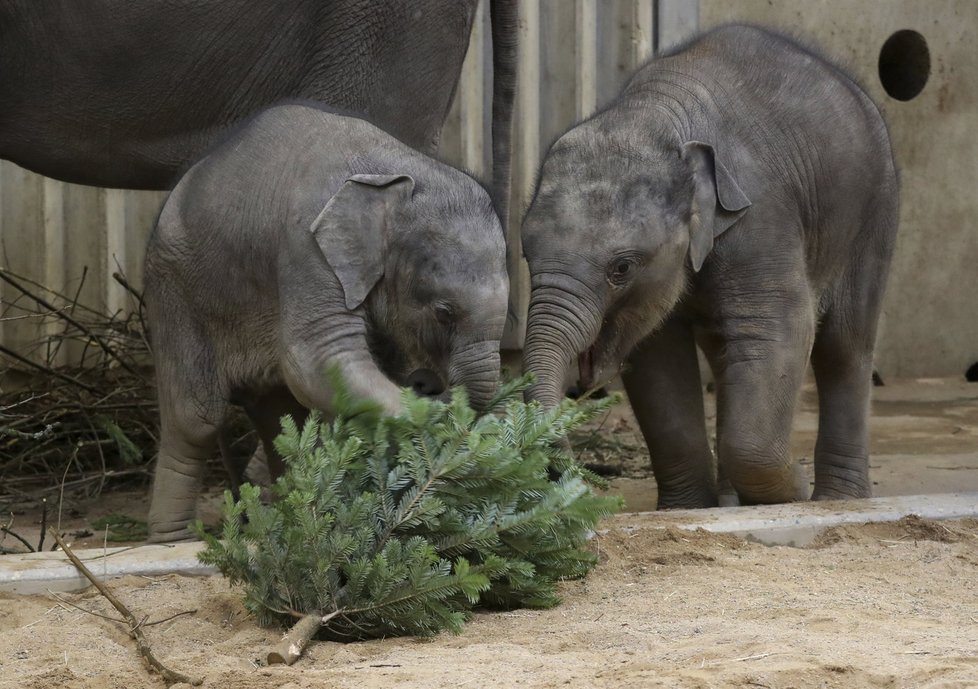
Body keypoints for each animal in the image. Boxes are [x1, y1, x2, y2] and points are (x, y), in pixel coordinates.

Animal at [146, 103, 510, 544]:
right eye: (443, 312)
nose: (426, 383)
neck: (396, 173)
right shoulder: (306, 247)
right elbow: (319, 360)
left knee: (281, 419)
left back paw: (288, 521)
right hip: (176, 290)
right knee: (197, 418)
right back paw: (175, 539)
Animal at [524, 24, 896, 508]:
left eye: (621, 268)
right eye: (525, 253)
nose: (583, 482)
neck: (656, 115)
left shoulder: (760, 216)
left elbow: (782, 328)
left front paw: (791, 491)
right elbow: (658, 359)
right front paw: (687, 509)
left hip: (874, 215)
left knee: (845, 345)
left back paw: (840, 501)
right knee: (726, 356)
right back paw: (734, 501)